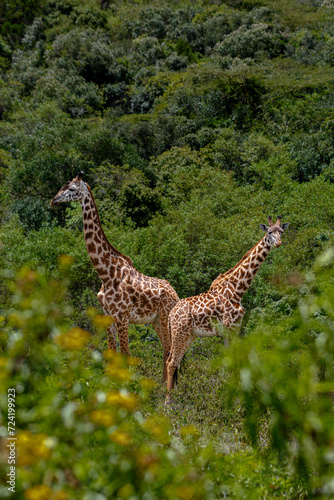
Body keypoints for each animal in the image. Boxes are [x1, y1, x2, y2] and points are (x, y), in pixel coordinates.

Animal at [50, 172, 180, 378]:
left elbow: (125, 355)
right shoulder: (107, 315)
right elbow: (111, 355)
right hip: (156, 321)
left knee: (170, 355)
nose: (53, 200)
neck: (105, 274)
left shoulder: (122, 316)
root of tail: (176, 294)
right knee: (166, 352)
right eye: (63, 186)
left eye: (71, 188)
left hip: (165, 316)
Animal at [166, 217, 290, 396]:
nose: (278, 243)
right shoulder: (231, 328)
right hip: (179, 333)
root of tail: (170, 315)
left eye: (281, 231)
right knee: (172, 363)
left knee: (173, 361)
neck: (237, 290)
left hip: (189, 335)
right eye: (269, 232)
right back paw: (169, 401)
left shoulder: (231, 331)